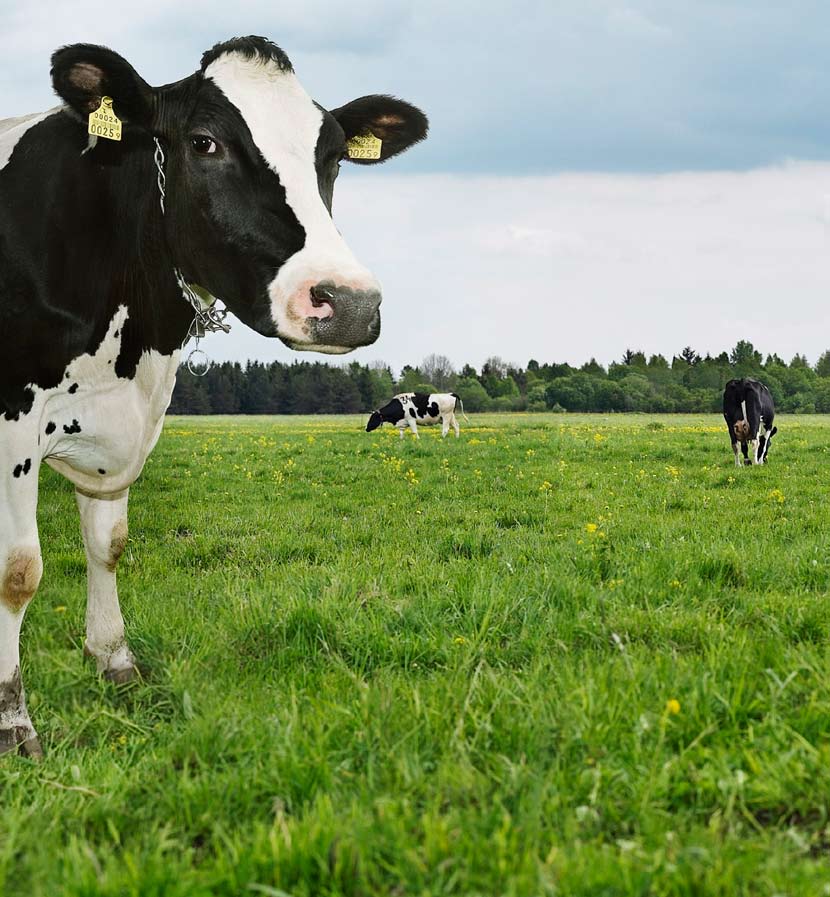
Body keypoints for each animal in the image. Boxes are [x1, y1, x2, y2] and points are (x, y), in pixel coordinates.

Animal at [0, 36, 428, 756]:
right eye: (204, 142)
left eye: (333, 156)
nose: (349, 303)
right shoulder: (11, 421)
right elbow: (18, 570)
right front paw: (12, 722)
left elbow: (108, 542)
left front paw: (114, 660)